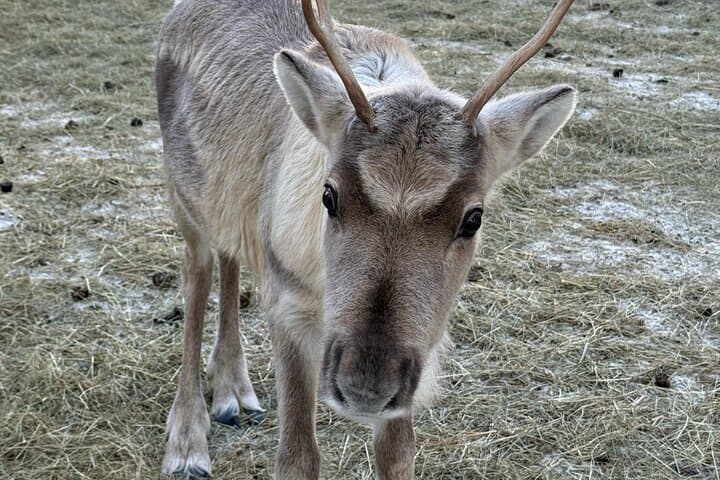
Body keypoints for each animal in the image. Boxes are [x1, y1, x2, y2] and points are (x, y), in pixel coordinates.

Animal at [155, 0, 576, 478]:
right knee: (197, 277)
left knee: (230, 258)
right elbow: (297, 458)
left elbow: (399, 455)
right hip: (184, 200)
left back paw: (232, 390)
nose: (365, 386)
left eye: (473, 218)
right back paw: (187, 441)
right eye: (328, 195)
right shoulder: (288, 305)